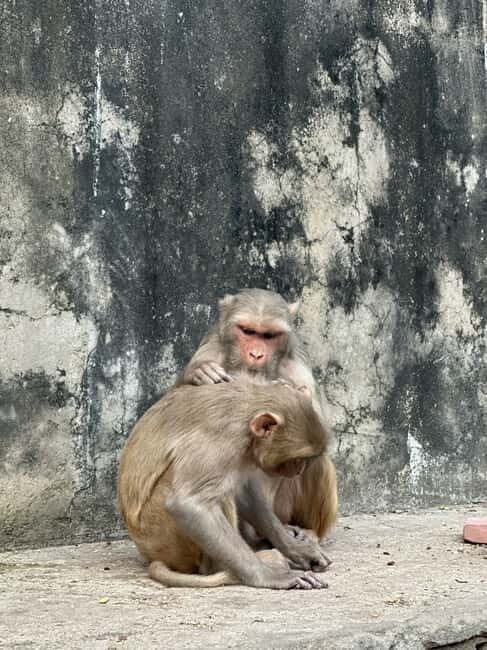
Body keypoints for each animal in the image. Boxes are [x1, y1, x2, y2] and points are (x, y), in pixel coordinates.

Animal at [117, 377, 331, 589]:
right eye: (297, 460)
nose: (299, 470)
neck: (245, 413)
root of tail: (149, 554)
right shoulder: (220, 442)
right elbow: (188, 504)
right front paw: (266, 575)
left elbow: (243, 491)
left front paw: (296, 549)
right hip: (164, 538)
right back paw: (228, 567)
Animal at [175, 288, 338, 543]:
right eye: (248, 331)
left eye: (269, 335)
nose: (256, 354)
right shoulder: (211, 350)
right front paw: (198, 373)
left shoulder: (296, 363)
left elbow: (320, 428)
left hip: (281, 509)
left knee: (316, 458)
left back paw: (308, 532)